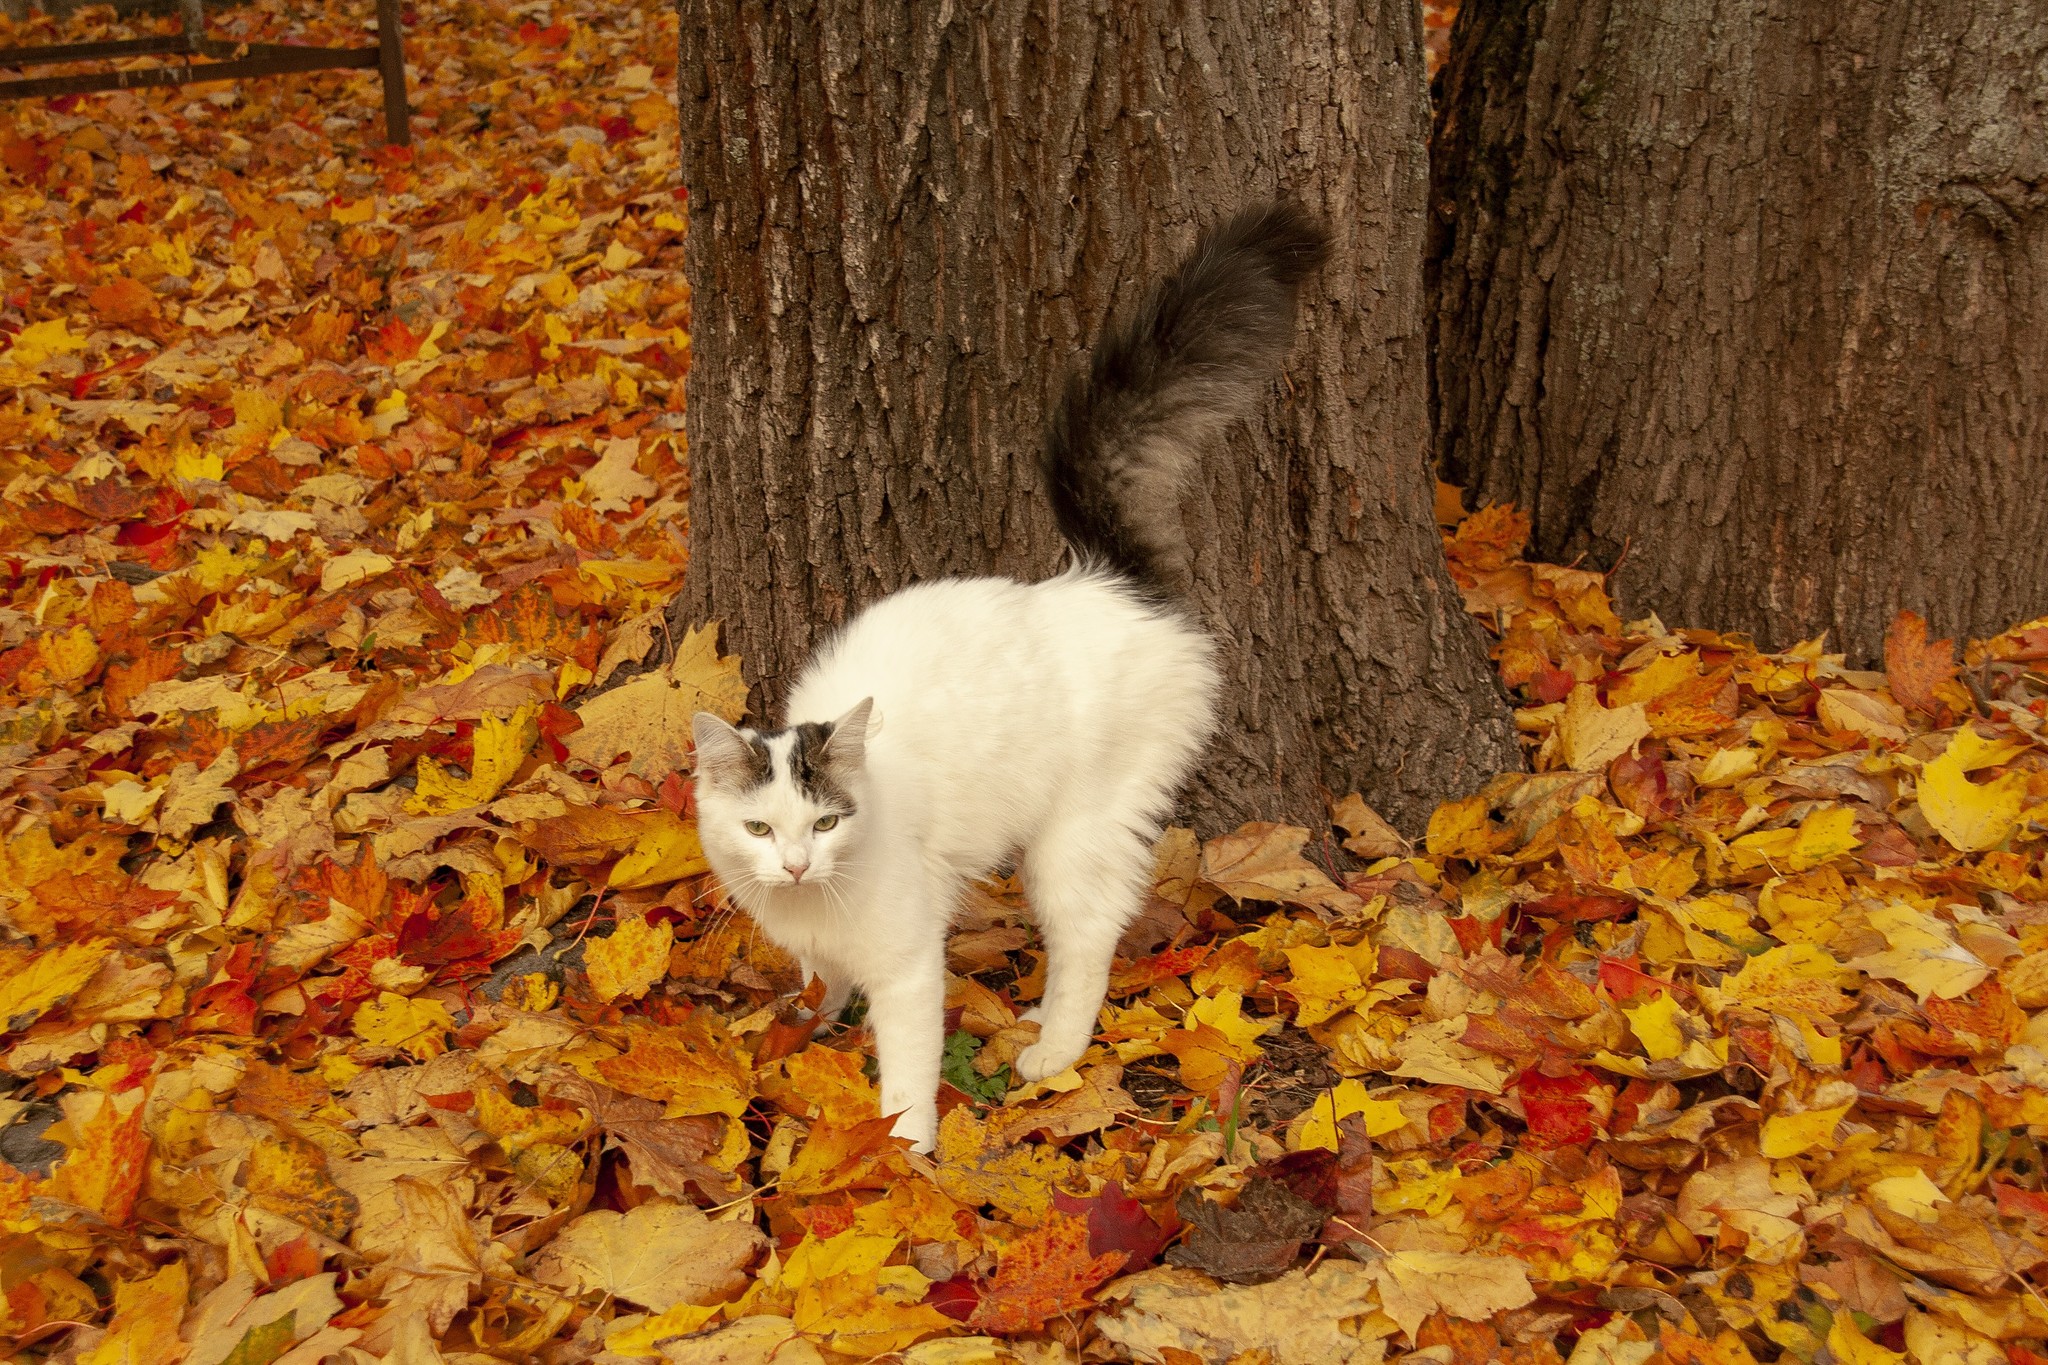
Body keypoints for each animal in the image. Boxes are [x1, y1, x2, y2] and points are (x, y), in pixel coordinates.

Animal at [688, 205, 1327, 1154]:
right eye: (762, 829)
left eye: (828, 822)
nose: (798, 866)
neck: (816, 902)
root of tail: (1106, 580)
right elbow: (818, 983)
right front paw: (806, 1023)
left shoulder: (909, 964)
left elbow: (905, 1077)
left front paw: (902, 1159)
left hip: (1079, 833)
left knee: (1089, 937)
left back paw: (1052, 1051)